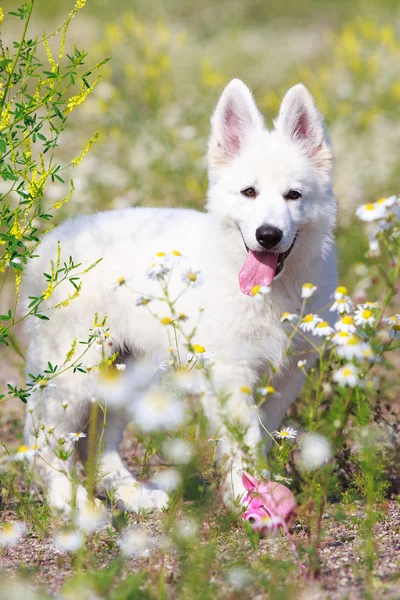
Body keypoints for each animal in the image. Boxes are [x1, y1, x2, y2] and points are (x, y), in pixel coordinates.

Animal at [23, 78, 338, 510]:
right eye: (249, 192)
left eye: (294, 195)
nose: (268, 235)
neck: (271, 291)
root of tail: (52, 242)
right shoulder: (231, 373)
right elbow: (244, 438)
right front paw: (247, 495)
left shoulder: (289, 374)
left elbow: (263, 431)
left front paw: (260, 486)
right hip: (74, 373)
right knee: (43, 441)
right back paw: (73, 506)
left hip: (125, 372)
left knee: (99, 444)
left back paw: (133, 495)